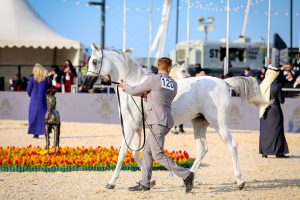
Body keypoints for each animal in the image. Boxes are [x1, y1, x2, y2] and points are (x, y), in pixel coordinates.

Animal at [83, 43, 264, 191]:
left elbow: (122, 153)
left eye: (95, 61)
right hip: (200, 123)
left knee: (232, 146)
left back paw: (240, 181)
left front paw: (111, 182)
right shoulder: (137, 127)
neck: (134, 84)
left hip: (219, 123)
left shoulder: (129, 125)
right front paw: (149, 180)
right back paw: (189, 179)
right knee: (202, 149)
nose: (85, 84)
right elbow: (135, 154)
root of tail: (225, 83)